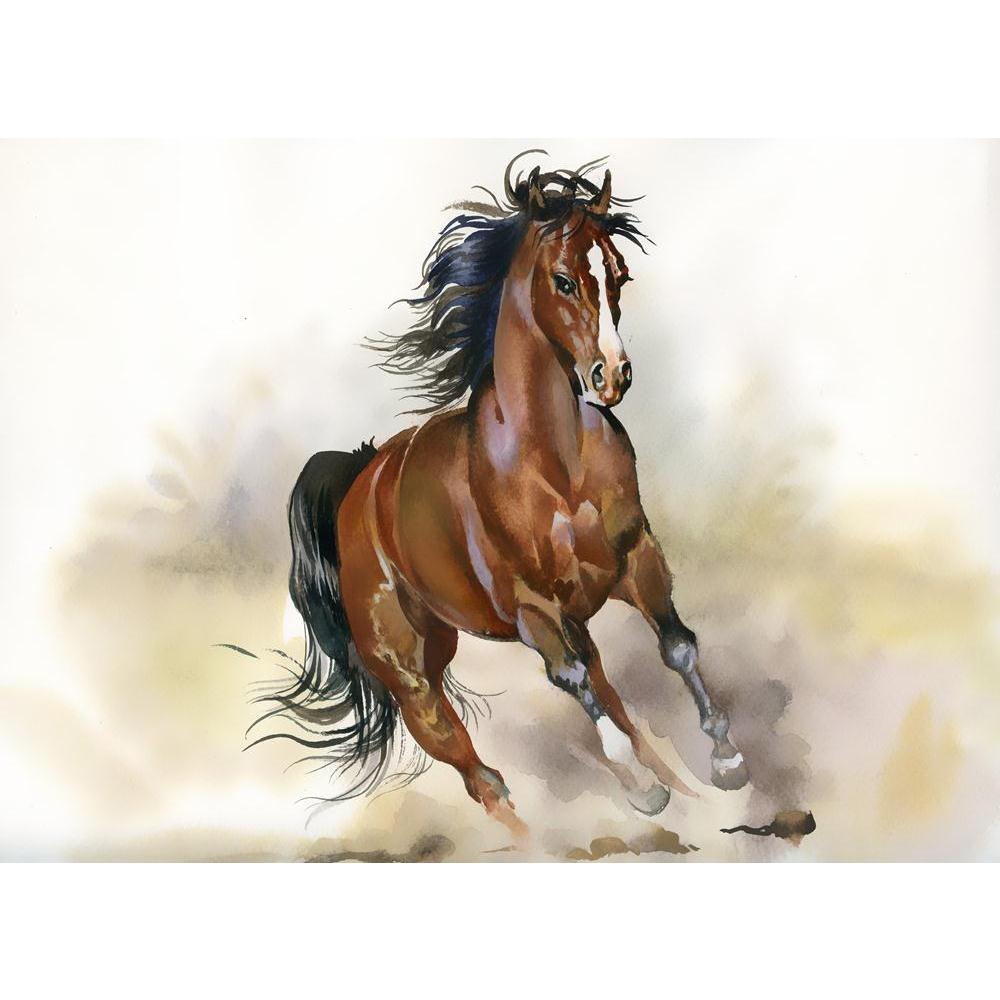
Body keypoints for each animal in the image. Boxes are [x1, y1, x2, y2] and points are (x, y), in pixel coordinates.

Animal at [261, 151, 748, 836]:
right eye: (564, 280)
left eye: (619, 276)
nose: (613, 376)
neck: (556, 466)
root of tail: (361, 481)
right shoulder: (531, 610)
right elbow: (575, 685)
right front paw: (641, 790)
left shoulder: (635, 559)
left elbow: (676, 648)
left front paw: (727, 758)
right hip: (412, 671)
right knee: (471, 764)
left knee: (608, 697)